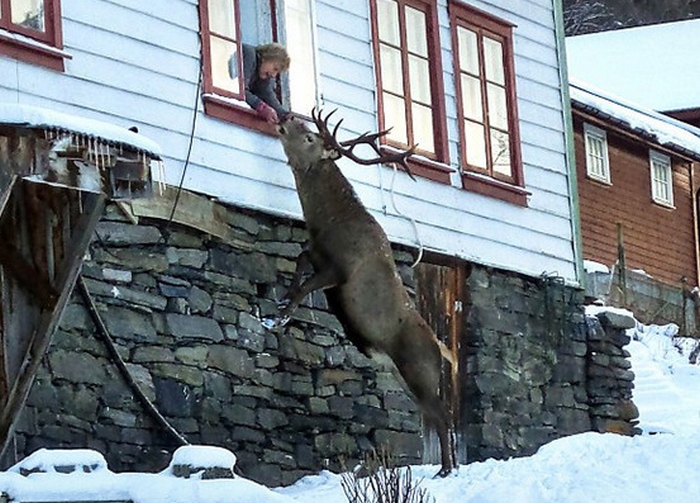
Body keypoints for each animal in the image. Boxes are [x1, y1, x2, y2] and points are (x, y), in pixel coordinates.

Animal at [266, 108, 456, 478]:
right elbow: (300, 258)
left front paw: (280, 317)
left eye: (310, 136)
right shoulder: (317, 253)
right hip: (403, 375)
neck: (327, 224)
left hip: (419, 369)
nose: (285, 116)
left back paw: (445, 469)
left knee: (442, 415)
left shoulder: (341, 270)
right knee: (432, 413)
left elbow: (307, 285)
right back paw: (446, 466)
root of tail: (440, 348)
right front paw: (282, 301)